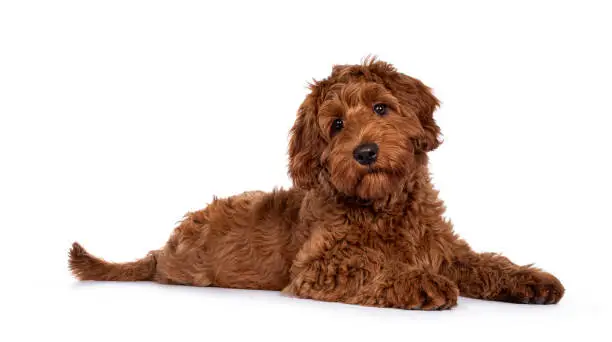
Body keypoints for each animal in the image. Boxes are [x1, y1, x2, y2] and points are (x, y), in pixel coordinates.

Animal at [68, 58, 564, 310]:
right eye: (337, 125)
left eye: (381, 108)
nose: (365, 152)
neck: (385, 208)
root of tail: (162, 248)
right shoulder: (317, 266)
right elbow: (370, 264)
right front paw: (419, 283)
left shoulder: (442, 248)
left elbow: (484, 262)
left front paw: (529, 280)